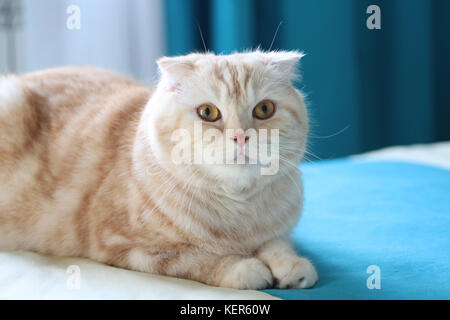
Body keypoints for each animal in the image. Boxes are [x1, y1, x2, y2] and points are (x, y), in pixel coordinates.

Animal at [0, 50, 316, 290]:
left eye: (264, 109)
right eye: (208, 112)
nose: (241, 136)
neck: (240, 215)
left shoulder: (279, 229)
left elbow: (277, 243)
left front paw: (291, 265)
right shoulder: (128, 249)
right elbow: (199, 259)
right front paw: (246, 269)